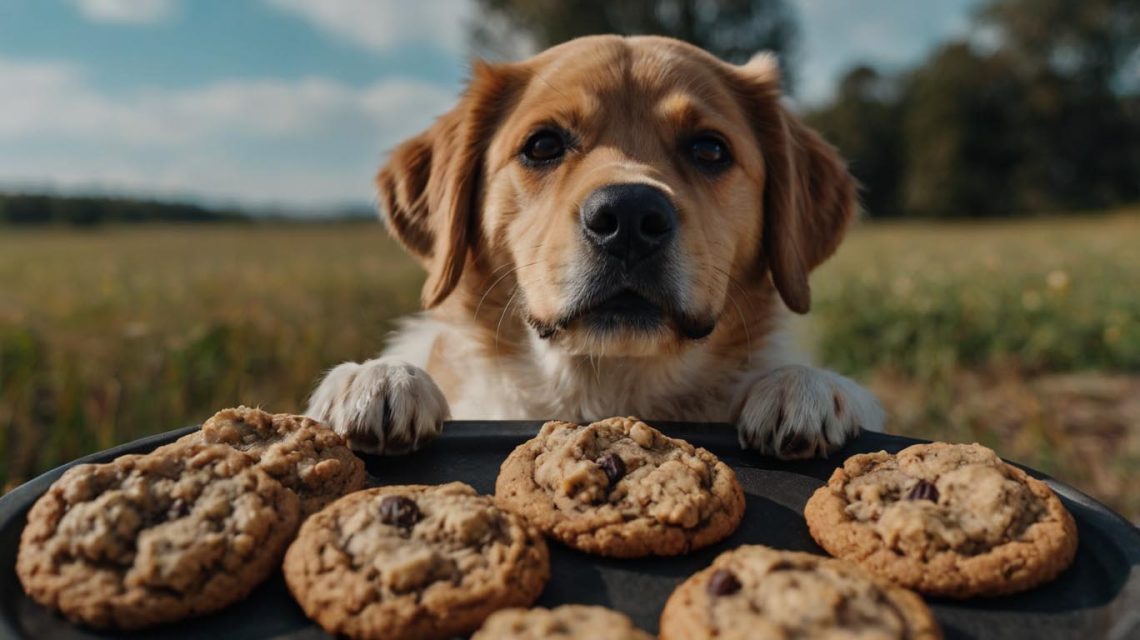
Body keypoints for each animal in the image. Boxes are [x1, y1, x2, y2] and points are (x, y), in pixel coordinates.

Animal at [307, 34, 884, 456]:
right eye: (542, 144)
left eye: (709, 148)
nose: (628, 216)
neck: (607, 386)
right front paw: (379, 378)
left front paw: (804, 386)